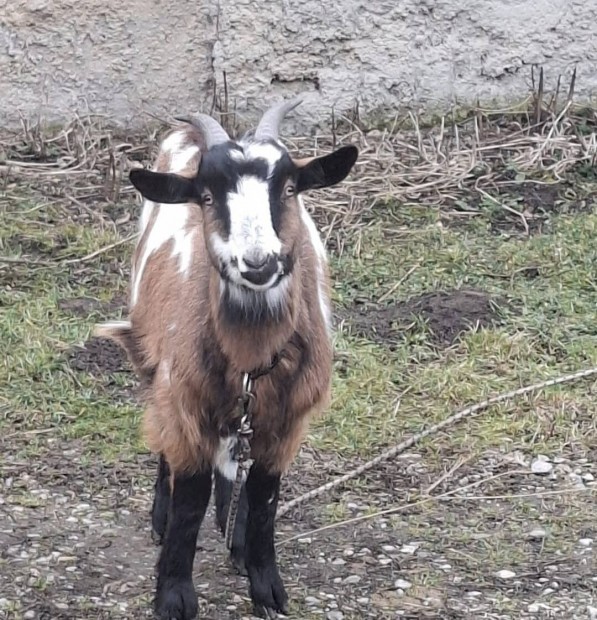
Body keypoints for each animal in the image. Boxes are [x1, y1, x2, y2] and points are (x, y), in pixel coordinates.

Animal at [96, 98, 358, 620]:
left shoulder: (286, 419)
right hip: (158, 362)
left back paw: (231, 533)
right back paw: (162, 515)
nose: (258, 264)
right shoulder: (186, 400)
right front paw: (174, 594)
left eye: (290, 187)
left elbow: (264, 498)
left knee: (235, 461)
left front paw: (266, 586)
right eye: (206, 196)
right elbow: (190, 498)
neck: (250, 360)